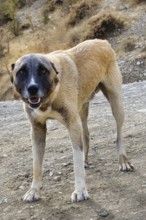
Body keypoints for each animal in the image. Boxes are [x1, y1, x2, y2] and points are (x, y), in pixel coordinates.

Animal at [10, 38, 133, 202]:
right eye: (21, 72)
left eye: (43, 70)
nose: (32, 88)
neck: (51, 95)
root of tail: (102, 41)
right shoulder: (37, 129)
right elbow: (36, 164)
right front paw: (33, 190)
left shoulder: (72, 124)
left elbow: (76, 162)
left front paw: (80, 190)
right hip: (82, 110)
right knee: (86, 135)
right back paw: (86, 160)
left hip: (116, 103)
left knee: (119, 134)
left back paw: (123, 161)